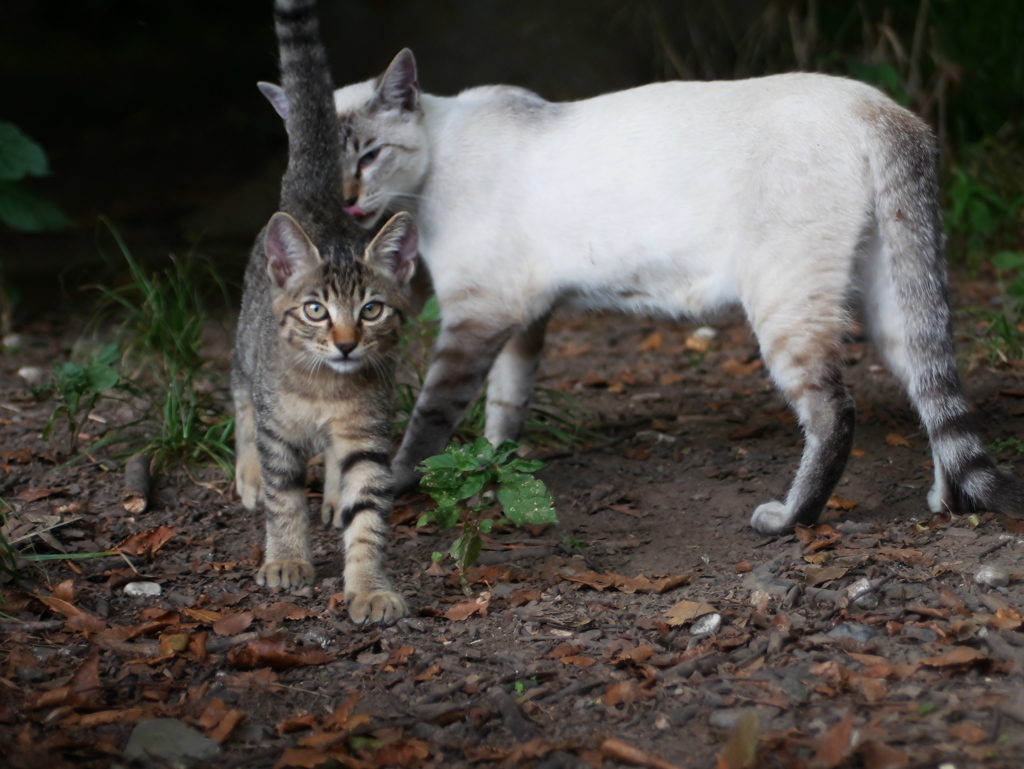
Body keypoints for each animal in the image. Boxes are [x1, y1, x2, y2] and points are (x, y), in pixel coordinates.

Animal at [232, 0, 415, 622]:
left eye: (372, 310)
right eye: (315, 309)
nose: (345, 342)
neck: (325, 391)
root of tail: (316, 200)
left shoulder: (369, 434)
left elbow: (368, 515)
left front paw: (368, 586)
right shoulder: (279, 430)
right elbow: (284, 498)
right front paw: (287, 559)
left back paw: (333, 494)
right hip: (244, 347)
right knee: (239, 400)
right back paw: (246, 472)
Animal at [266, 49, 1024, 536]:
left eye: (368, 157)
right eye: (318, 166)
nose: (344, 202)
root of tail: (878, 106)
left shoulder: (476, 317)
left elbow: (429, 417)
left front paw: (392, 483)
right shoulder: (522, 319)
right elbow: (504, 408)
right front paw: (495, 467)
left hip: (782, 303)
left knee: (836, 412)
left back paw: (789, 519)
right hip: (888, 299)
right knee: (931, 387)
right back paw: (945, 500)